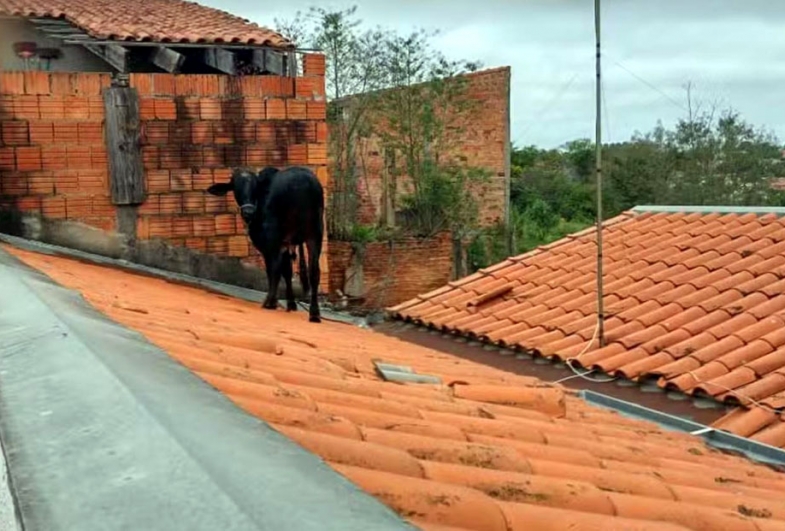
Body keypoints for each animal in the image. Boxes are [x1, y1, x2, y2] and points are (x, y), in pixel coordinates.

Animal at [207, 168, 324, 322]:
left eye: (255, 187)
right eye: (236, 187)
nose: (248, 211)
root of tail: (305, 182)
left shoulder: (270, 242)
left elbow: (274, 270)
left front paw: (274, 301)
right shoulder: (285, 244)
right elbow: (287, 271)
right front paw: (291, 304)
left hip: (278, 238)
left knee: (274, 268)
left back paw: (268, 302)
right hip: (316, 234)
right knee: (314, 272)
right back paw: (314, 313)